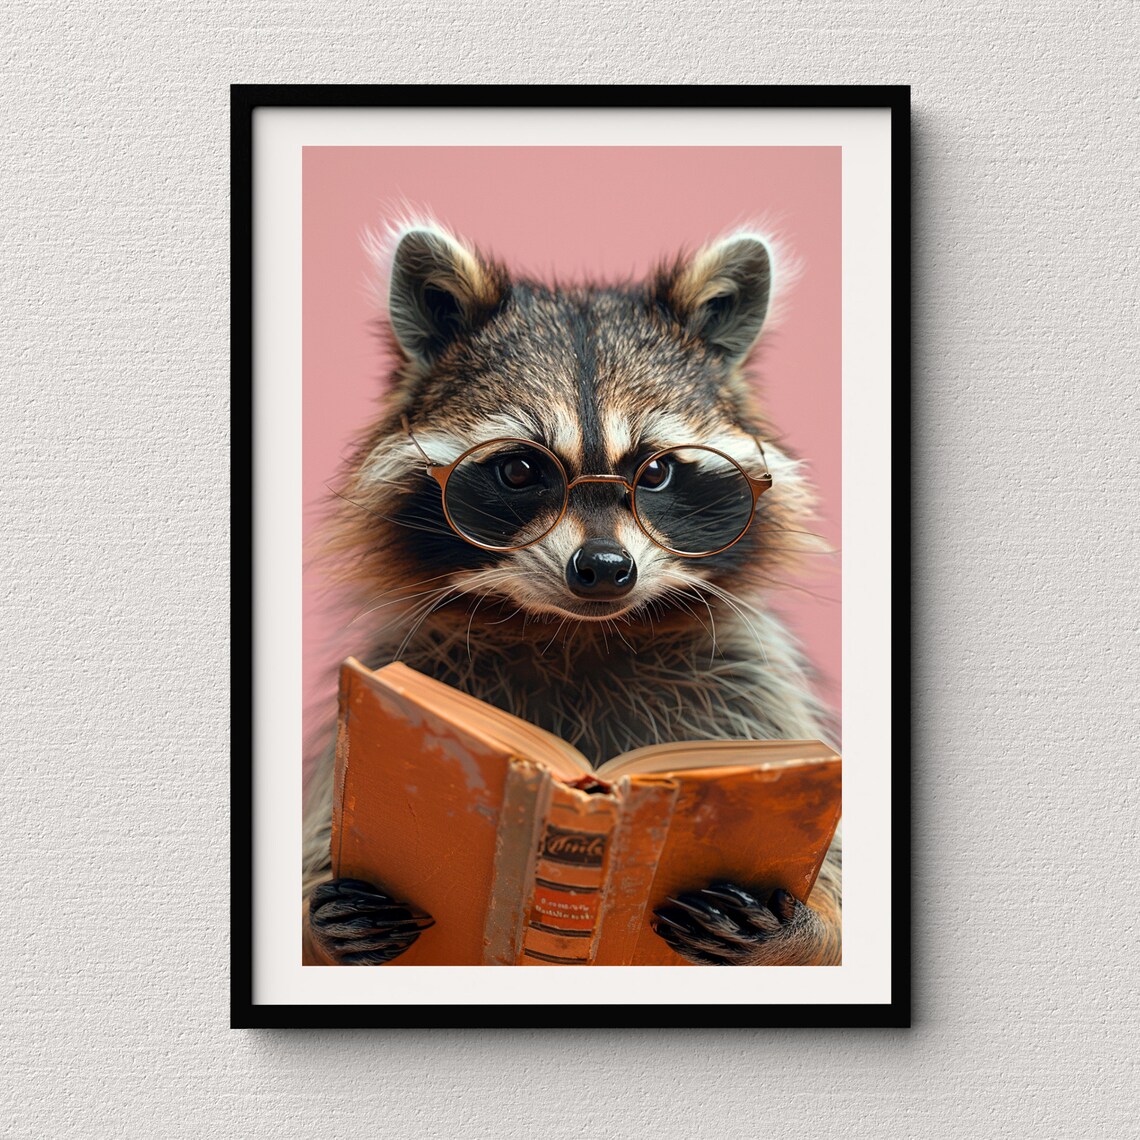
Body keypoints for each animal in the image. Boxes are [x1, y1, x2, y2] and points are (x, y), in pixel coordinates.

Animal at [303, 220, 841, 967]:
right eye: (521, 469)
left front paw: (800, 933)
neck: (578, 632)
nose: (606, 568)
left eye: (657, 472)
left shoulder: (752, 691)